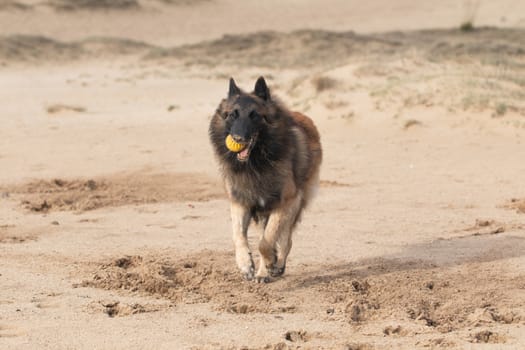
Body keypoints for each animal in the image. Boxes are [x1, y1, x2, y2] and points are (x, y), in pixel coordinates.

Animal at [207, 76, 322, 282]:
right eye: (233, 115)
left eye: (254, 115)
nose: (238, 138)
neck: (256, 164)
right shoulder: (241, 202)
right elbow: (238, 236)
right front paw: (246, 264)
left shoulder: (283, 203)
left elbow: (266, 242)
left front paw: (270, 263)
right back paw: (263, 272)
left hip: (294, 205)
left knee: (285, 239)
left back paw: (276, 265)